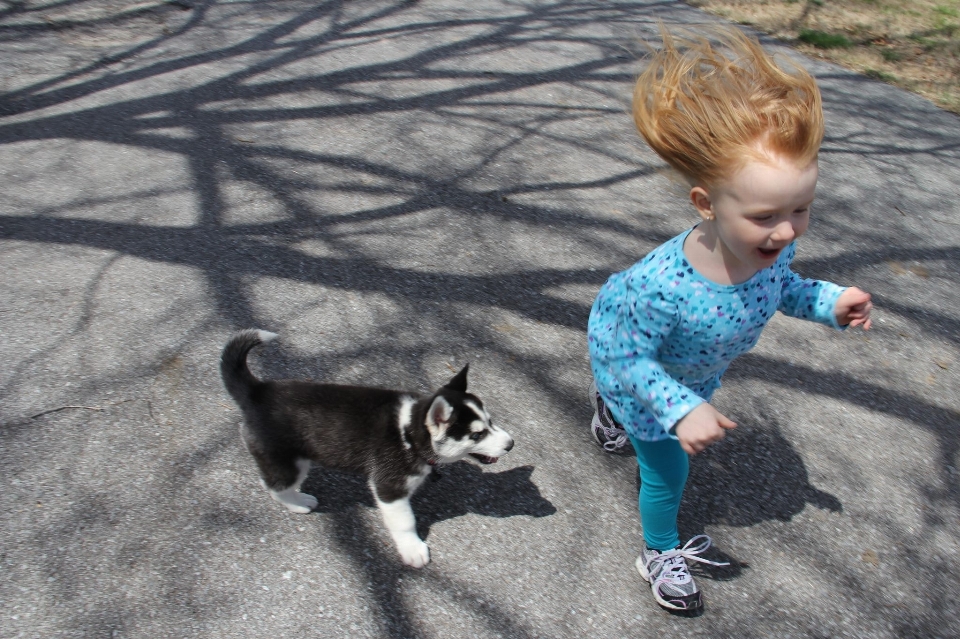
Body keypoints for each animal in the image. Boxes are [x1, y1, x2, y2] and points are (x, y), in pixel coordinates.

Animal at [220, 332, 512, 568]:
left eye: (490, 422)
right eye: (477, 434)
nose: (511, 444)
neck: (409, 432)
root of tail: (257, 391)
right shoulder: (389, 488)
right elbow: (405, 521)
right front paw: (413, 549)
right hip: (288, 461)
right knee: (274, 485)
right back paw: (299, 502)